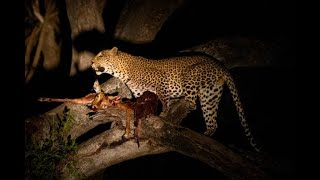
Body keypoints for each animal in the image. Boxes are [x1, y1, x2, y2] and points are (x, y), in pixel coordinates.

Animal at [90, 46, 260, 152]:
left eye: (101, 55)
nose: (91, 62)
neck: (122, 71)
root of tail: (220, 65)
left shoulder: (162, 83)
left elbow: (165, 103)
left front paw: (164, 116)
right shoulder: (142, 94)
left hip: (190, 77)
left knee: (192, 104)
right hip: (210, 95)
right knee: (212, 122)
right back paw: (206, 135)